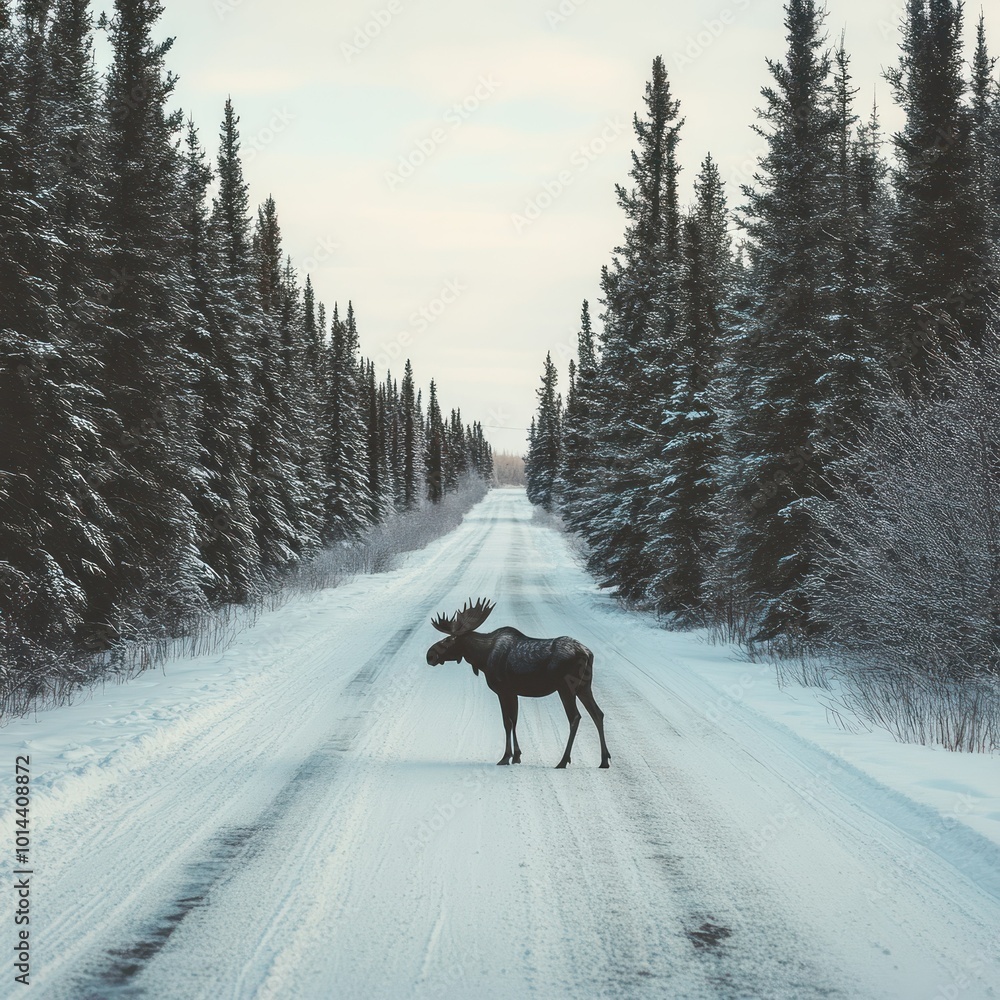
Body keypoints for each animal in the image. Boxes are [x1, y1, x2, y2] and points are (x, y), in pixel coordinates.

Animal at [424, 596, 608, 768]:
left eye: (448, 639)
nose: (429, 655)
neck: (482, 658)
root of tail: (587, 653)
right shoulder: (514, 692)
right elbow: (515, 720)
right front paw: (517, 756)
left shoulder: (503, 690)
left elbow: (507, 722)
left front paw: (506, 757)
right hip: (584, 686)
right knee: (598, 713)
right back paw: (604, 760)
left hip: (566, 687)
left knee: (575, 717)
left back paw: (563, 761)